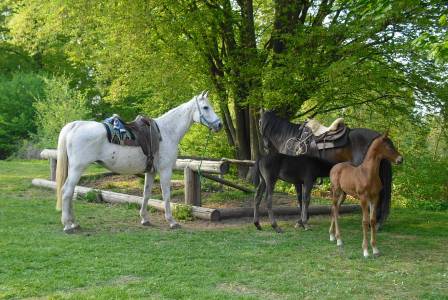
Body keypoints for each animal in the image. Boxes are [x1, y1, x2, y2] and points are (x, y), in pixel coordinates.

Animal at [55, 90, 222, 233]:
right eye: (206, 107)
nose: (219, 124)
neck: (167, 132)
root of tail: (74, 125)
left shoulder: (151, 171)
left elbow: (146, 194)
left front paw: (144, 219)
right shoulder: (165, 171)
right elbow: (166, 195)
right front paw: (172, 221)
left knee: (70, 192)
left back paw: (74, 223)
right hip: (78, 168)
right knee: (67, 191)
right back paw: (68, 225)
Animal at [260, 111, 394, 229]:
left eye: (259, 121)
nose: (265, 146)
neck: (292, 139)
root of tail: (378, 137)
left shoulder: (297, 179)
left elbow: (300, 199)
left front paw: (301, 221)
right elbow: (303, 198)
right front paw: (304, 220)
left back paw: (376, 223)